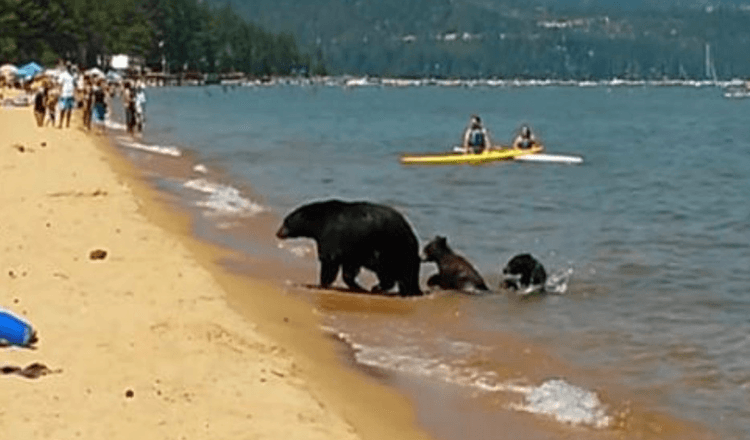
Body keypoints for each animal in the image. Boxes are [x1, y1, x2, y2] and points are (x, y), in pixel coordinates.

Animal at [280, 201, 426, 298]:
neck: (320, 221)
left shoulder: (332, 237)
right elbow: (348, 270)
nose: (278, 232)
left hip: (390, 250)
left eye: (285, 222)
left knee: (389, 273)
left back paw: (378, 288)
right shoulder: (351, 250)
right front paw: (357, 286)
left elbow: (329, 261)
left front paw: (321, 284)